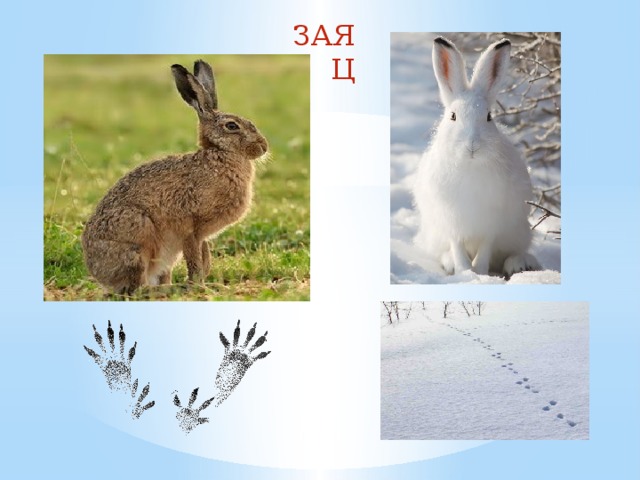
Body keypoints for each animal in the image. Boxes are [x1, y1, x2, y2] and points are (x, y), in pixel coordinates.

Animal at [81, 59, 268, 295]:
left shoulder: (201, 235)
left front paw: (206, 284)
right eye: (232, 126)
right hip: (139, 236)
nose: (264, 146)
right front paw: (199, 287)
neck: (219, 153)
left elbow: (204, 258)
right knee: (136, 288)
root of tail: (98, 273)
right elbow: (195, 261)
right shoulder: (189, 226)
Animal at [413, 36, 540, 277]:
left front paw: (479, 272)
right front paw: (464, 272)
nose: (472, 146)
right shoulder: (451, 222)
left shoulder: (492, 223)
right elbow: (457, 246)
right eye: (453, 116)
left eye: (489, 116)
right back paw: (450, 264)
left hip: (519, 232)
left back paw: (519, 264)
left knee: (512, 252)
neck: (470, 165)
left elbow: (485, 248)